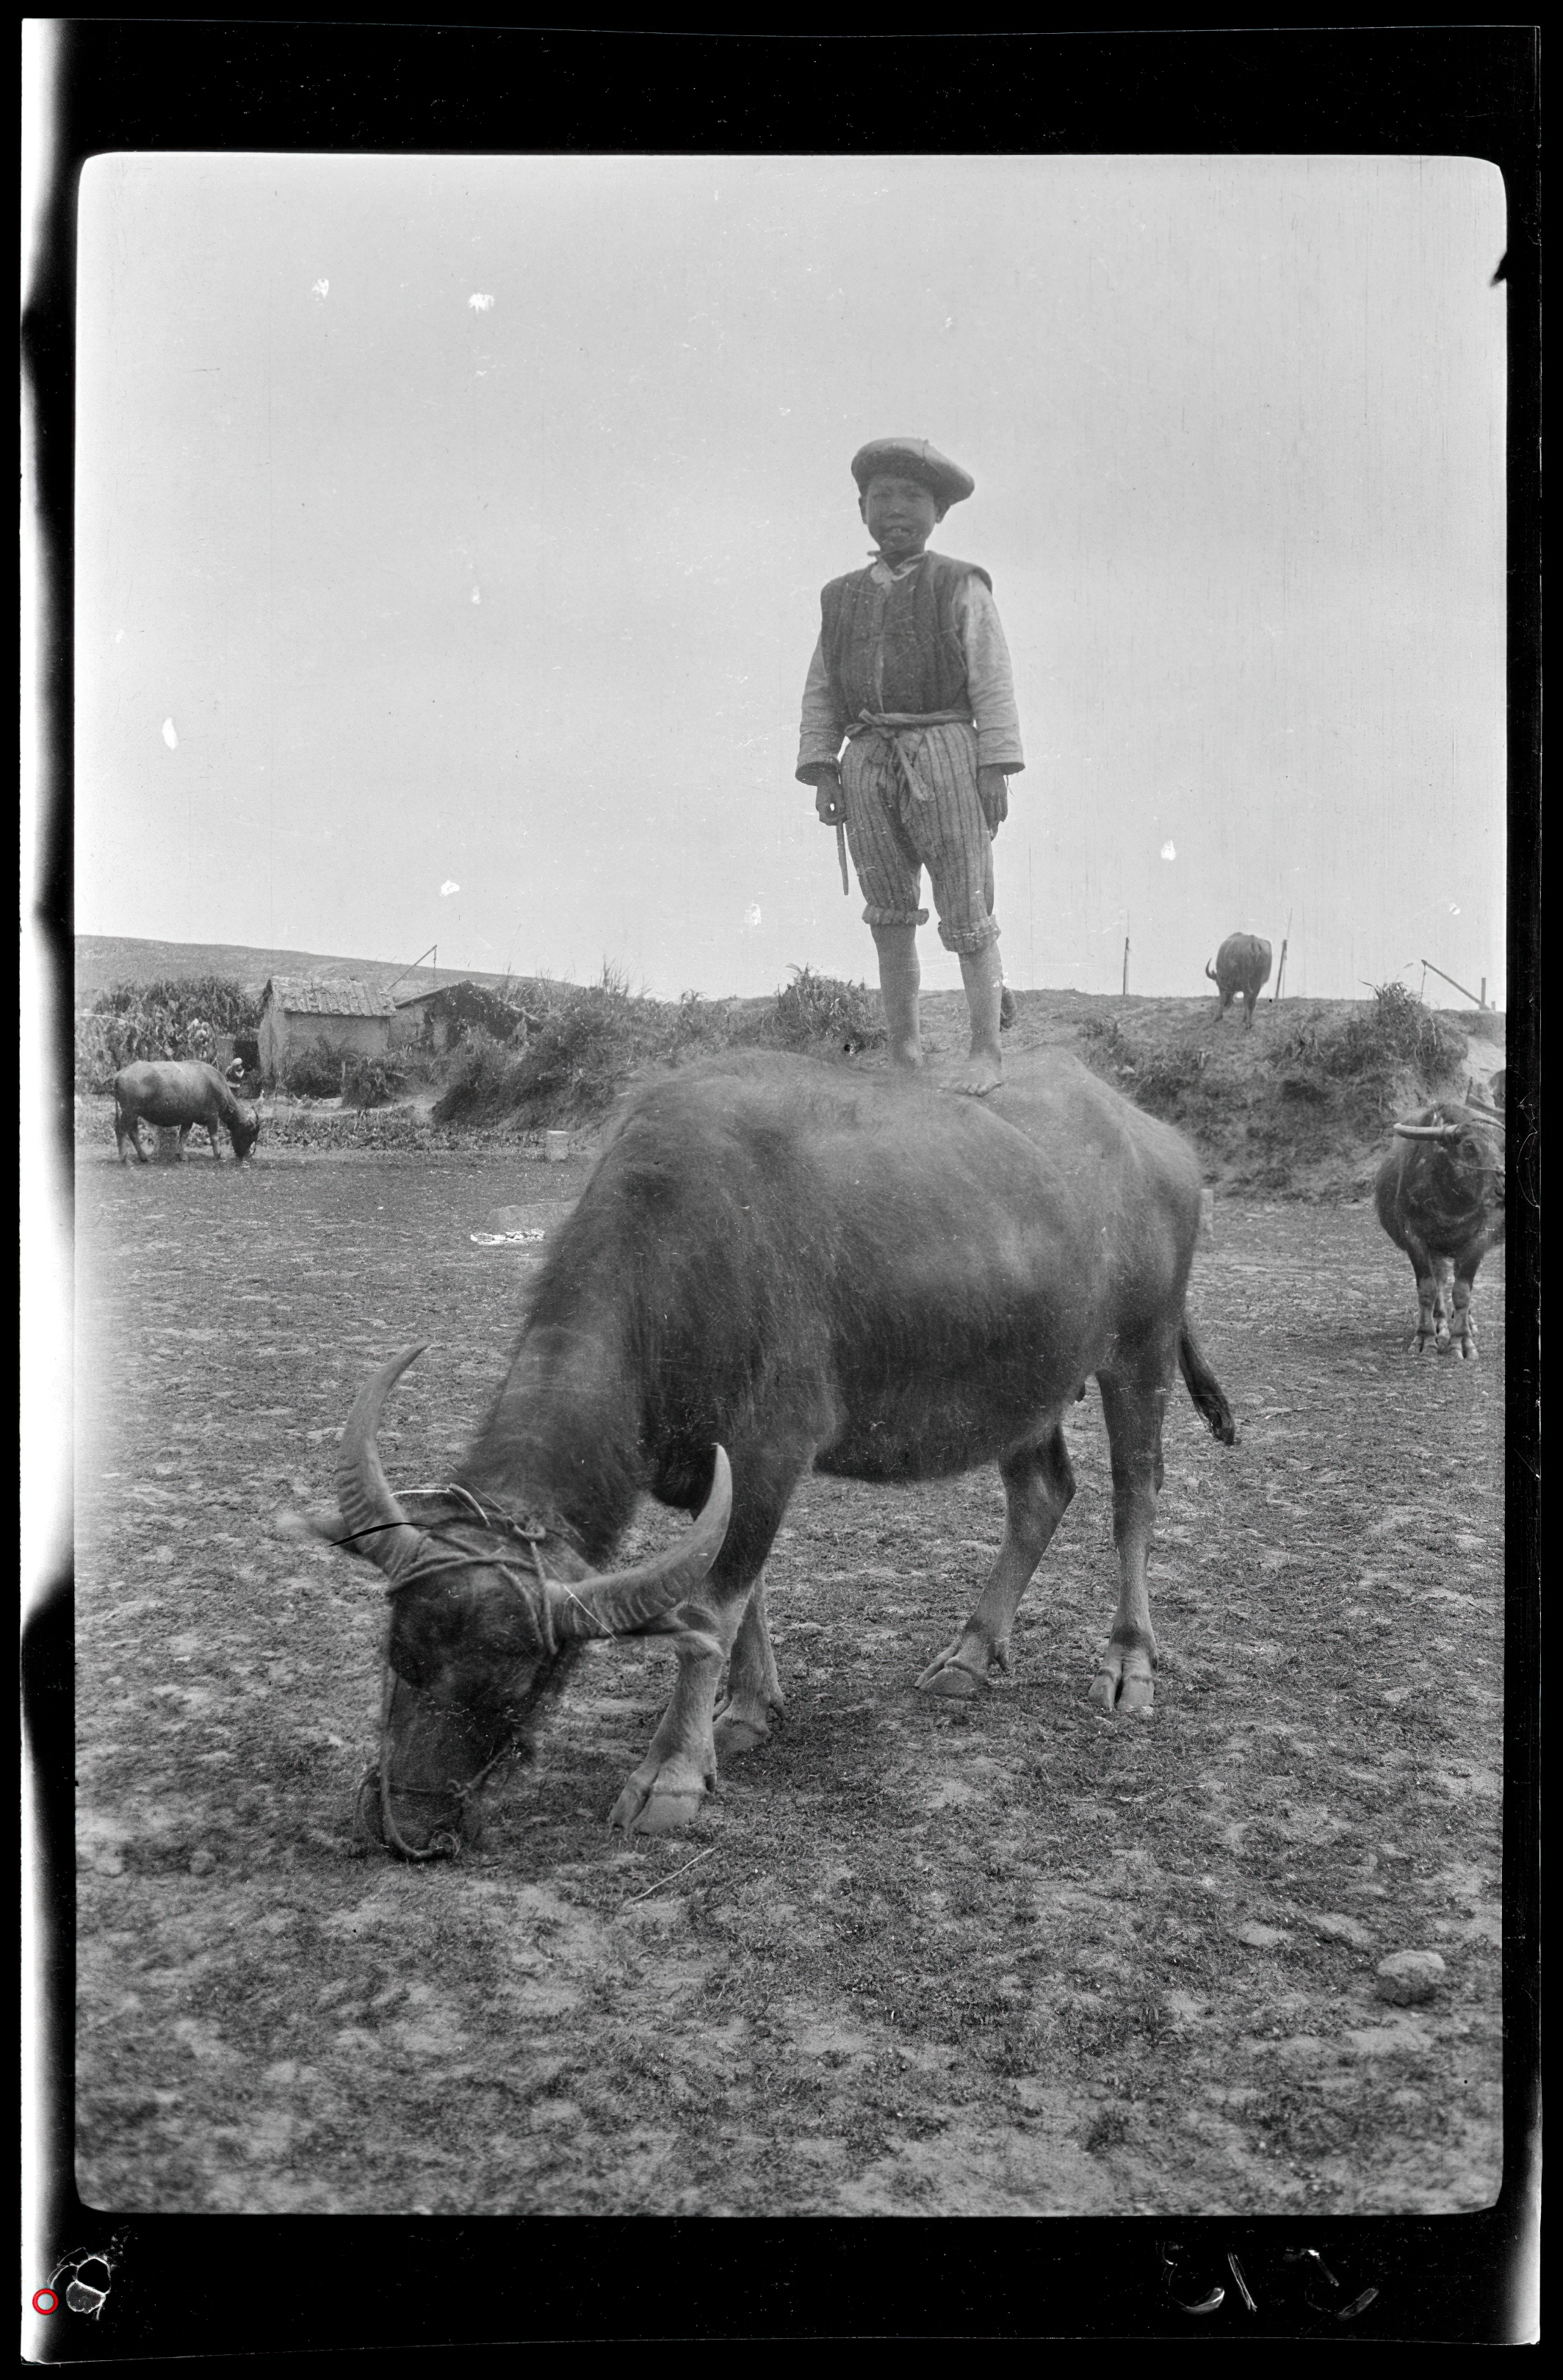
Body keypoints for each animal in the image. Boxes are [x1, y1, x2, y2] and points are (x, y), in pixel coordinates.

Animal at [112, 1066, 259, 1166]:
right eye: (250, 1133)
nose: (247, 1155)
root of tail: (120, 1073)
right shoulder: (213, 1117)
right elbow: (214, 1137)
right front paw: (218, 1155)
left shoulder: (188, 1119)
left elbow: (184, 1135)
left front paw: (181, 1156)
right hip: (130, 1112)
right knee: (123, 1130)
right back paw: (126, 1158)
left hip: (131, 1114)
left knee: (130, 1131)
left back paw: (142, 1157)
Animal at [1199, 933, 1275, 1028]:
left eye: (1218, 983)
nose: (1228, 1003)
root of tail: (1253, 942)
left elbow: (1221, 999)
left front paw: (1217, 1017)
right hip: (1257, 982)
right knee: (1251, 1000)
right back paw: (1246, 1021)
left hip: (1246, 980)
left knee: (1248, 1000)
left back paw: (1247, 1024)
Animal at [1370, 1095, 1504, 1361]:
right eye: (1469, 1146)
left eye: (1502, 1146)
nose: (1503, 1187)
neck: (1452, 1203)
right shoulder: (1416, 1239)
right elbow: (1428, 1289)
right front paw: (1425, 1338)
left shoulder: (1479, 1240)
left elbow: (1462, 1292)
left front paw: (1462, 1342)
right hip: (1437, 1249)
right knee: (1441, 1280)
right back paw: (1440, 1324)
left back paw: (1466, 1323)